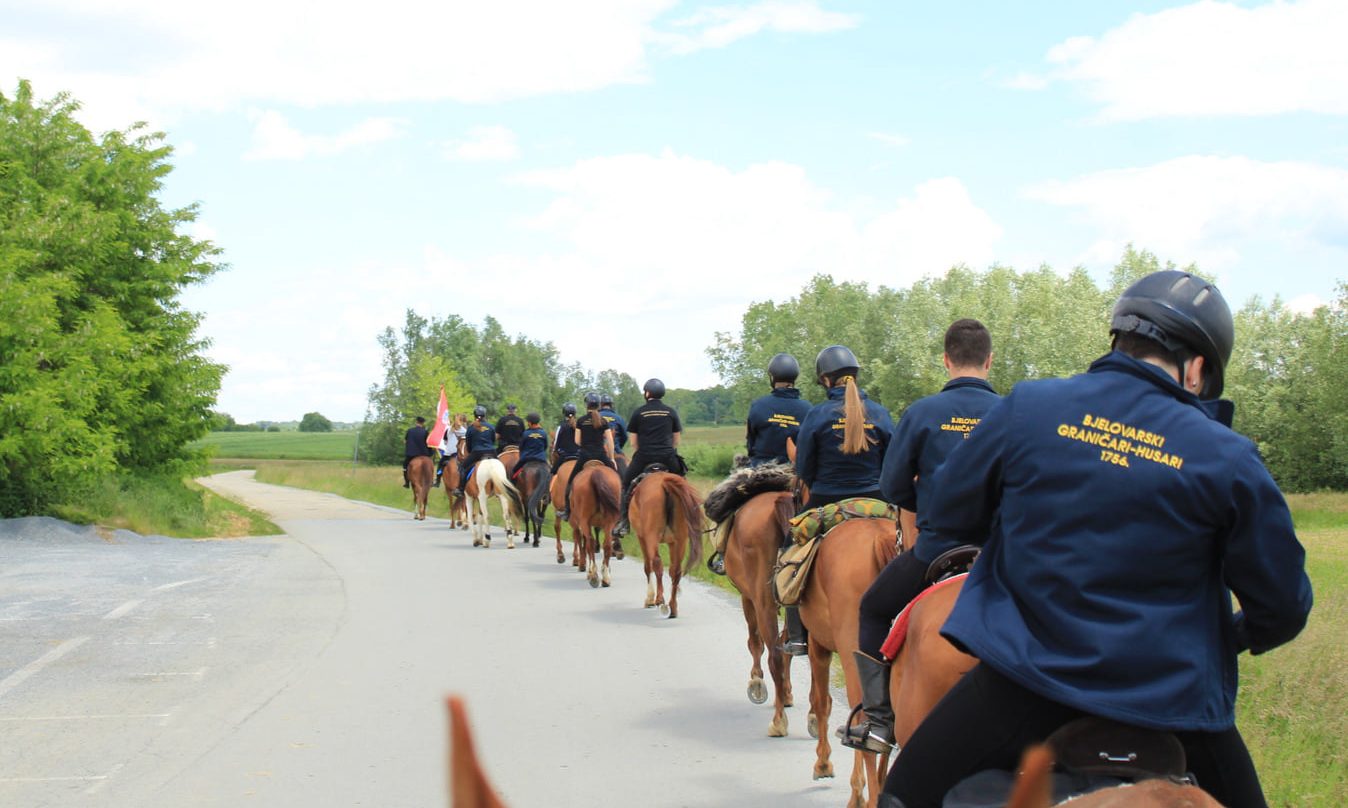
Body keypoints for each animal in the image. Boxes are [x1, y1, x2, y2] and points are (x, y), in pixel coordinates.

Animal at [628, 474, 706, 620]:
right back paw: (673, 607)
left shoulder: (642, 538)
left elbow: (647, 567)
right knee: (676, 570)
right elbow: (671, 570)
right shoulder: (672, 543)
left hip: (651, 537)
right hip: (681, 540)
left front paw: (649, 599)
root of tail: (664, 482)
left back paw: (659, 600)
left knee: (656, 563)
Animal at [727, 491, 798, 739]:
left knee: (773, 654)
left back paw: (778, 722)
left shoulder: (747, 597)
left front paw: (756, 680)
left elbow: (755, 641)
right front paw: (787, 694)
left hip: (762, 600)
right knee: (783, 649)